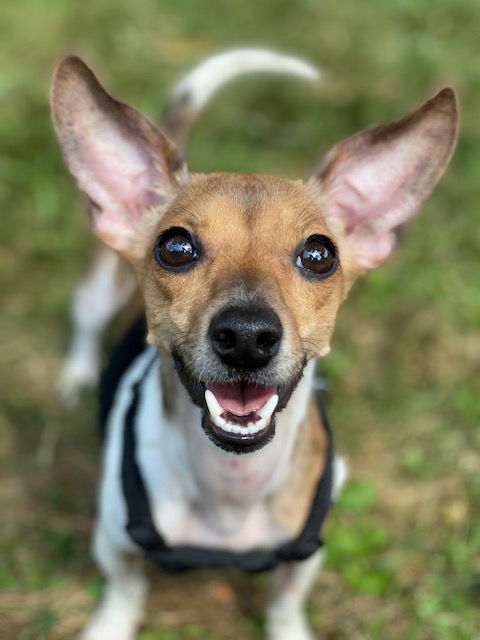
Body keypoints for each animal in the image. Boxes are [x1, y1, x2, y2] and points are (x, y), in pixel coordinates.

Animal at [50, 50, 460, 640]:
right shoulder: (114, 540)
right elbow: (125, 590)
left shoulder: (305, 555)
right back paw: (78, 373)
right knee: (84, 317)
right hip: (102, 290)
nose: (246, 335)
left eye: (319, 255)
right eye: (175, 248)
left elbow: (285, 603)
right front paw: (110, 626)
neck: (231, 485)